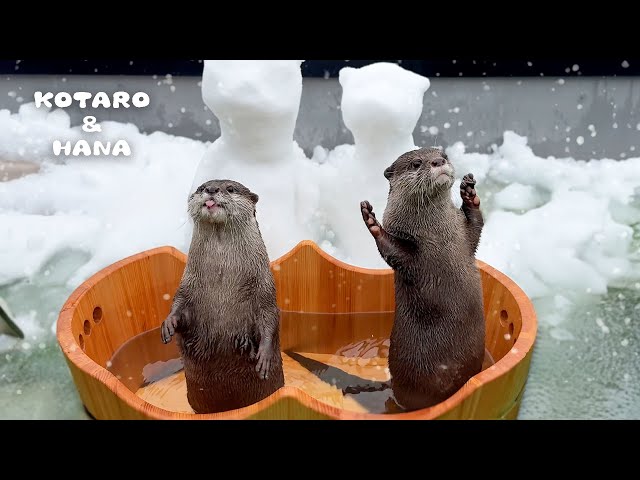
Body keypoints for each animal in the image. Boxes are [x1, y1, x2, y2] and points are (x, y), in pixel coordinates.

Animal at [160, 179, 284, 413]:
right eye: (201, 188)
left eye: (230, 188)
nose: (211, 190)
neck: (222, 280)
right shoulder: (188, 283)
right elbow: (179, 304)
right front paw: (169, 323)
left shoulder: (263, 288)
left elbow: (269, 318)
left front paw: (264, 356)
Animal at [360, 147, 485, 411]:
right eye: (417, 163)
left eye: (444, 154)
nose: (438, 161)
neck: (437, 235)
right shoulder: (408, 252)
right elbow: (392, 251)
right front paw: (372, 221)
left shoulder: (463, 234)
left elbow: (476, 226)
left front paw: (469, 194)